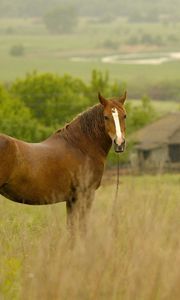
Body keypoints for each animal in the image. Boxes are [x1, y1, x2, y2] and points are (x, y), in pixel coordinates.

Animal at [0, 92, 126, 231]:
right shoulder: (85, 195)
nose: (119, 143)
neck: (80, 147)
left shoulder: (71, 199)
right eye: (106, 117)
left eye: (124, 116)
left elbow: (71, 228)